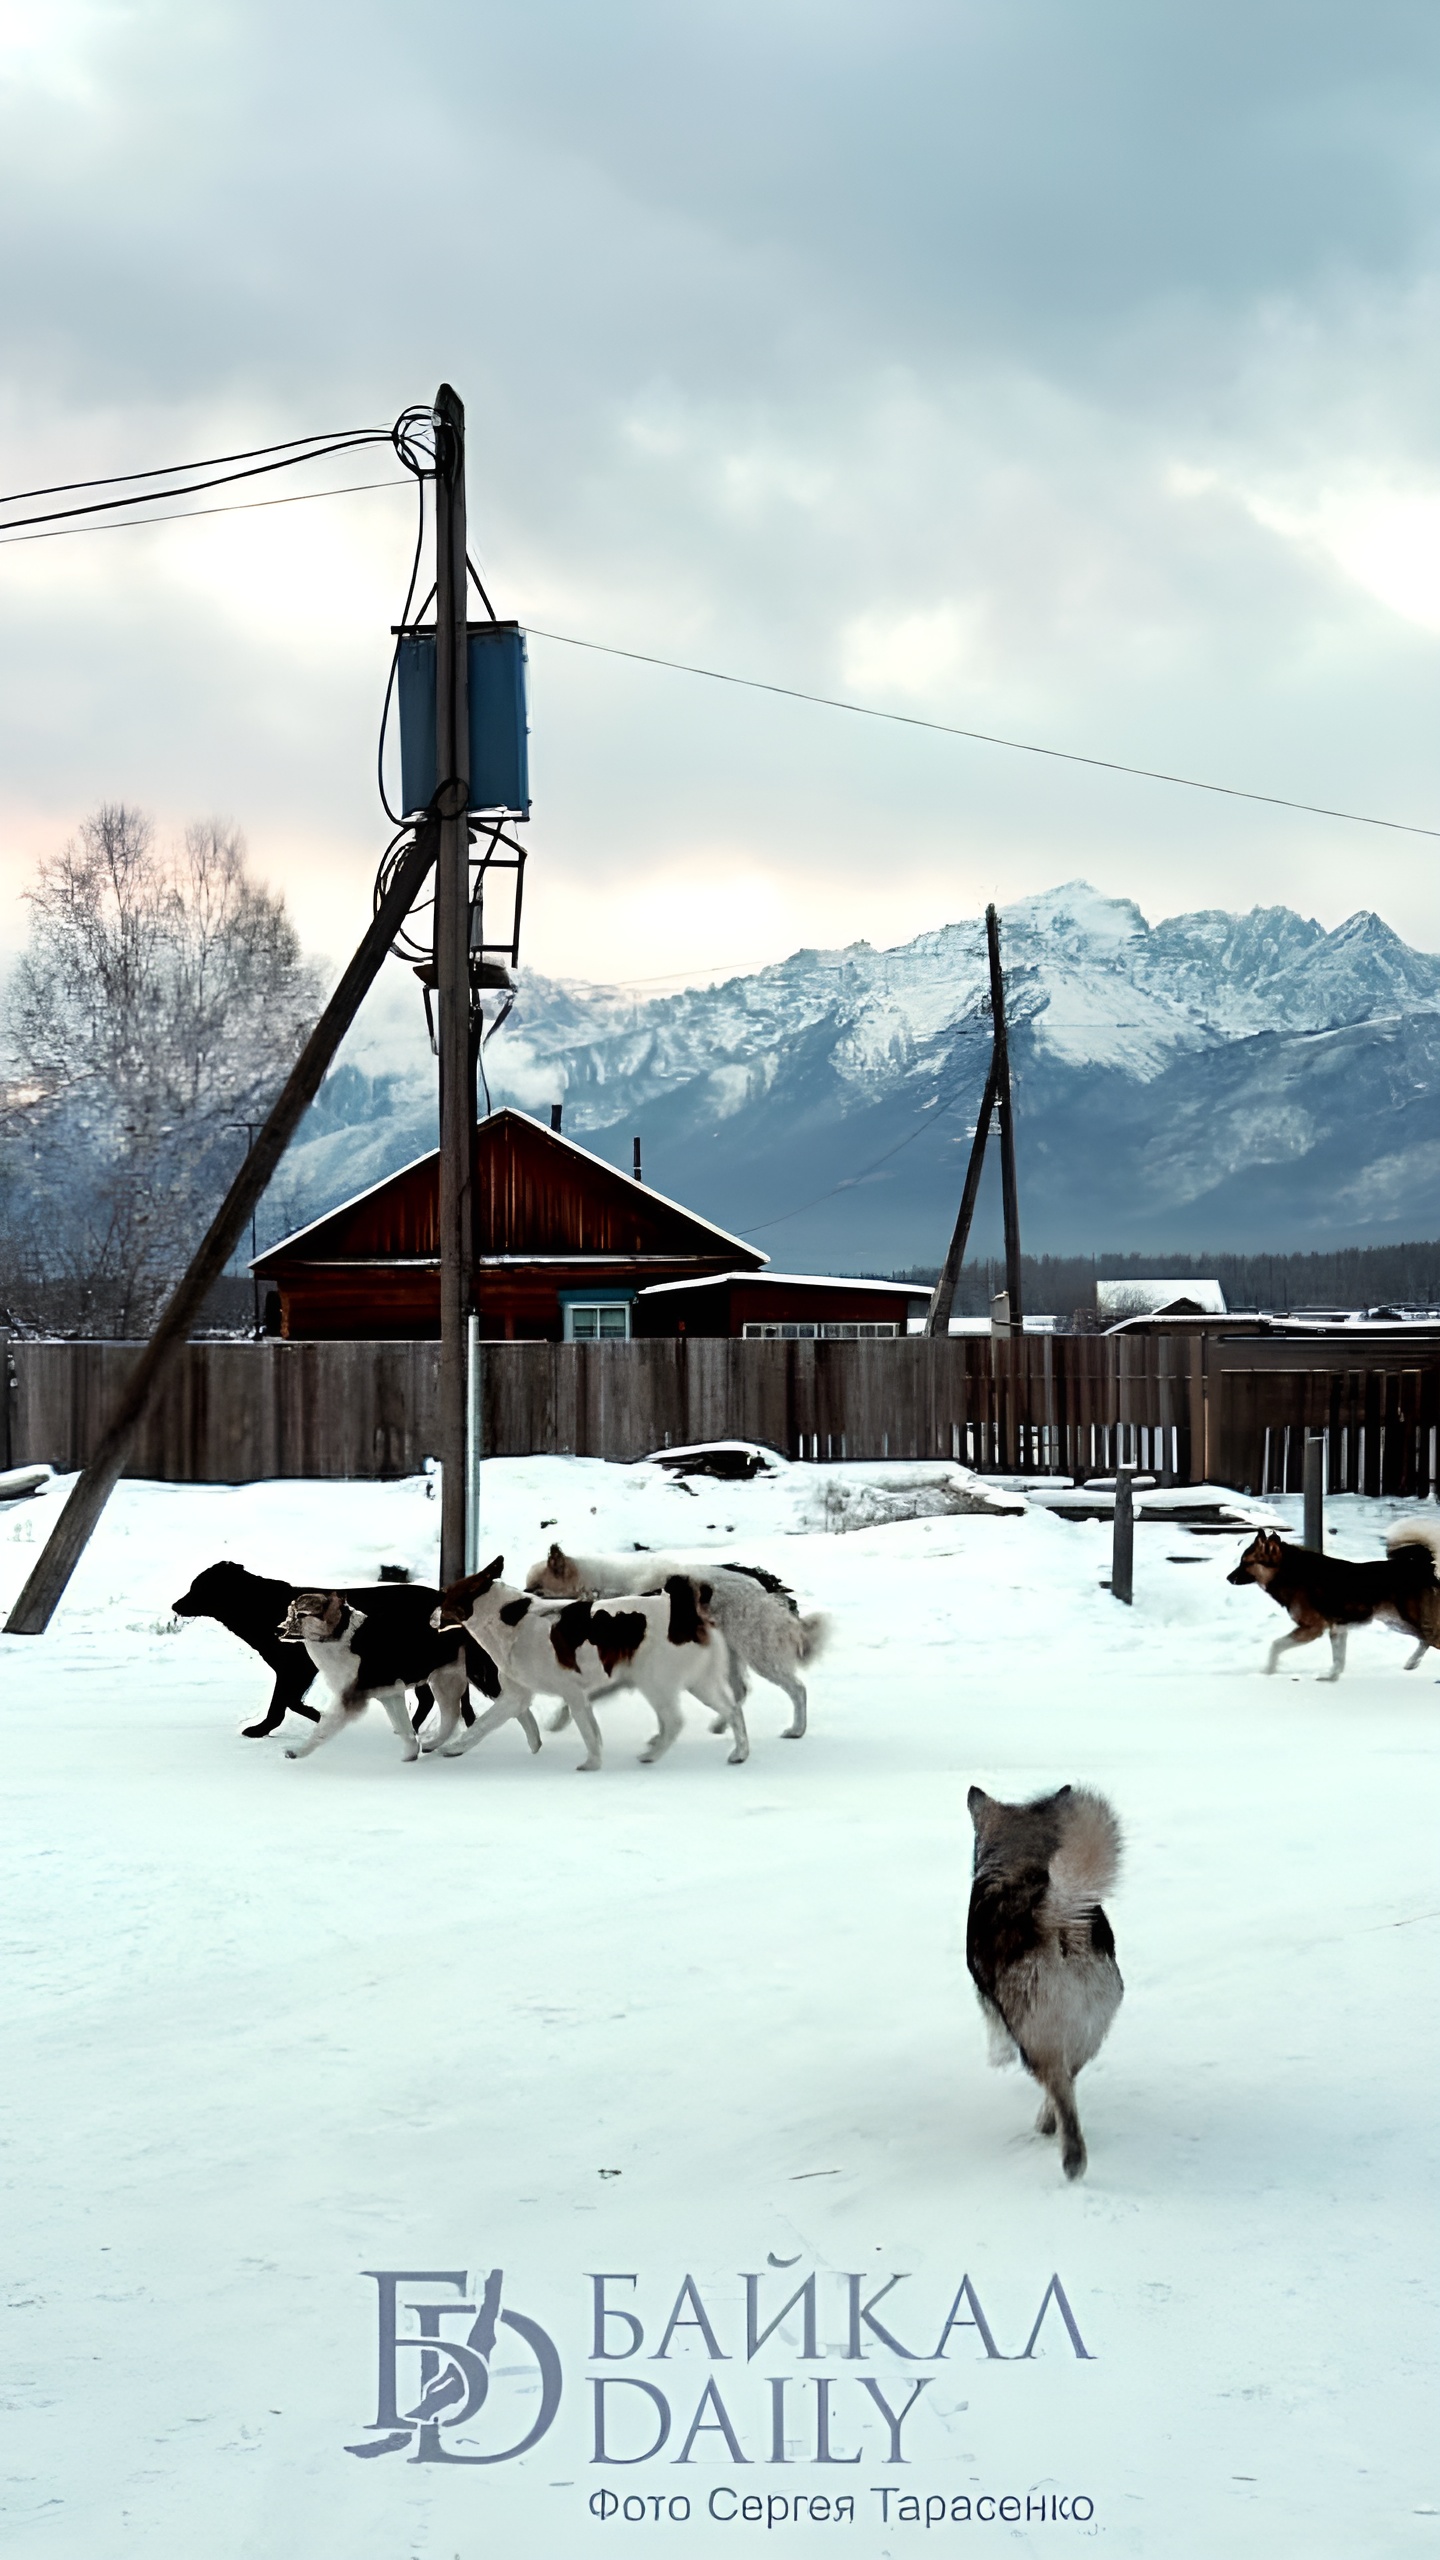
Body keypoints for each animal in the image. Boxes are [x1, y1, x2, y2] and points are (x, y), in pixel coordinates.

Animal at [169, 1556, 499, 1740]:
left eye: (198, 1587)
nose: (174, 1605)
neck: (261, 1606)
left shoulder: (296, 1668)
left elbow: (284, 1704)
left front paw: (264, 1729)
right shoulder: (295, 1670)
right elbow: (289, 1702)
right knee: (433, 1699)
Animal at [427, 1546, 737, 1771]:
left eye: (444, 1595)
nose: (429, 1618)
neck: (508, 1618)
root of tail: (685, 1611)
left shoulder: (572, 1693)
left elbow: (588, 1732)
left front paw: (592, 1764)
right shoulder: (517, 1696)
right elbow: (482, 1726)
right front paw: (454, 1748)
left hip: (655, 1683)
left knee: (675, 1722)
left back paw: (653, 1754)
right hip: (699, 1683)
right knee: (732, 1711)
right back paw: (739, 1753)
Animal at [520, 1536, 825, 1740]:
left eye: (537, 1588)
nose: (521, 1604)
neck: (597, 1590)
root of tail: (762, 1589)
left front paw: (557, 1722)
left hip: (758, 1653)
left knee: (797, 1689)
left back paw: (797, 1729)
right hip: (731, 1655)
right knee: (740, 1691)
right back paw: (721, 1725)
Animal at [963, 1781, 1122, 2181]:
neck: (1019, 1860)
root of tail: (1061, 1921)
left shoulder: (987, 1995)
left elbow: (994, 2032)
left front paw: (997, 2058)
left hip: (1036, 2036)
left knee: (1059, 2089)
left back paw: (1071, 2160)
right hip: (1088, 2028)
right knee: (1068, 2079)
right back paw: (1048, 2124)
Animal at [1219, 1515, 1434, 1679]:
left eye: (1245, 1563)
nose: (1228, 1578)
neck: (1289, 1573)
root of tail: (1423, 1566)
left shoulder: (1313, 1628)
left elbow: (1276, 1645)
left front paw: (1268, 1671)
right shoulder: (1338, 1629)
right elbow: (1338, 1660)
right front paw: (1331, 1677)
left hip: (1406, 1618)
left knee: (1430, 1639)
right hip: (1397, 1622)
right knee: (1425, 1640)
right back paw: (1412, 1663)